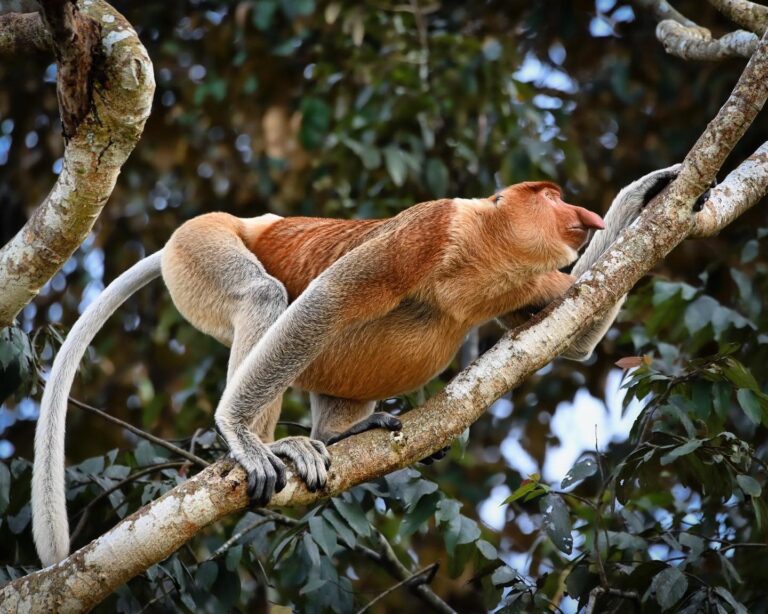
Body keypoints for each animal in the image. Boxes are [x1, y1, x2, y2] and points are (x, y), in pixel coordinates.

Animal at [31, 164, 681, 566]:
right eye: (547, 195)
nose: (579, 211)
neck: (486, 245)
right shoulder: (428, 228)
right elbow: (330, 298)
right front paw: (241, 436)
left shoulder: (528, 278)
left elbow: (577, 327)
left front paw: (649, 190)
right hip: (200, 244)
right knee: (265, 296)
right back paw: (269, 447)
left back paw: (338, 434)